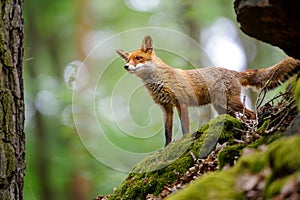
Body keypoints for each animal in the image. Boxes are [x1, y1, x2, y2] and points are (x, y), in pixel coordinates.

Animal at [116, 35, 300, 146]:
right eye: (128, 60)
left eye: (138, 58)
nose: (125, 67)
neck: (159, 81)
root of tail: (234, 72)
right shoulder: (166, 108)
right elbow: (167, 133)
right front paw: (166, 148)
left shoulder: (181, 103)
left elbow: (185, 127)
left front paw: (184, 142)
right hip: (222, 107)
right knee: (240, 116)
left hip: (232, 103)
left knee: (251, 113)